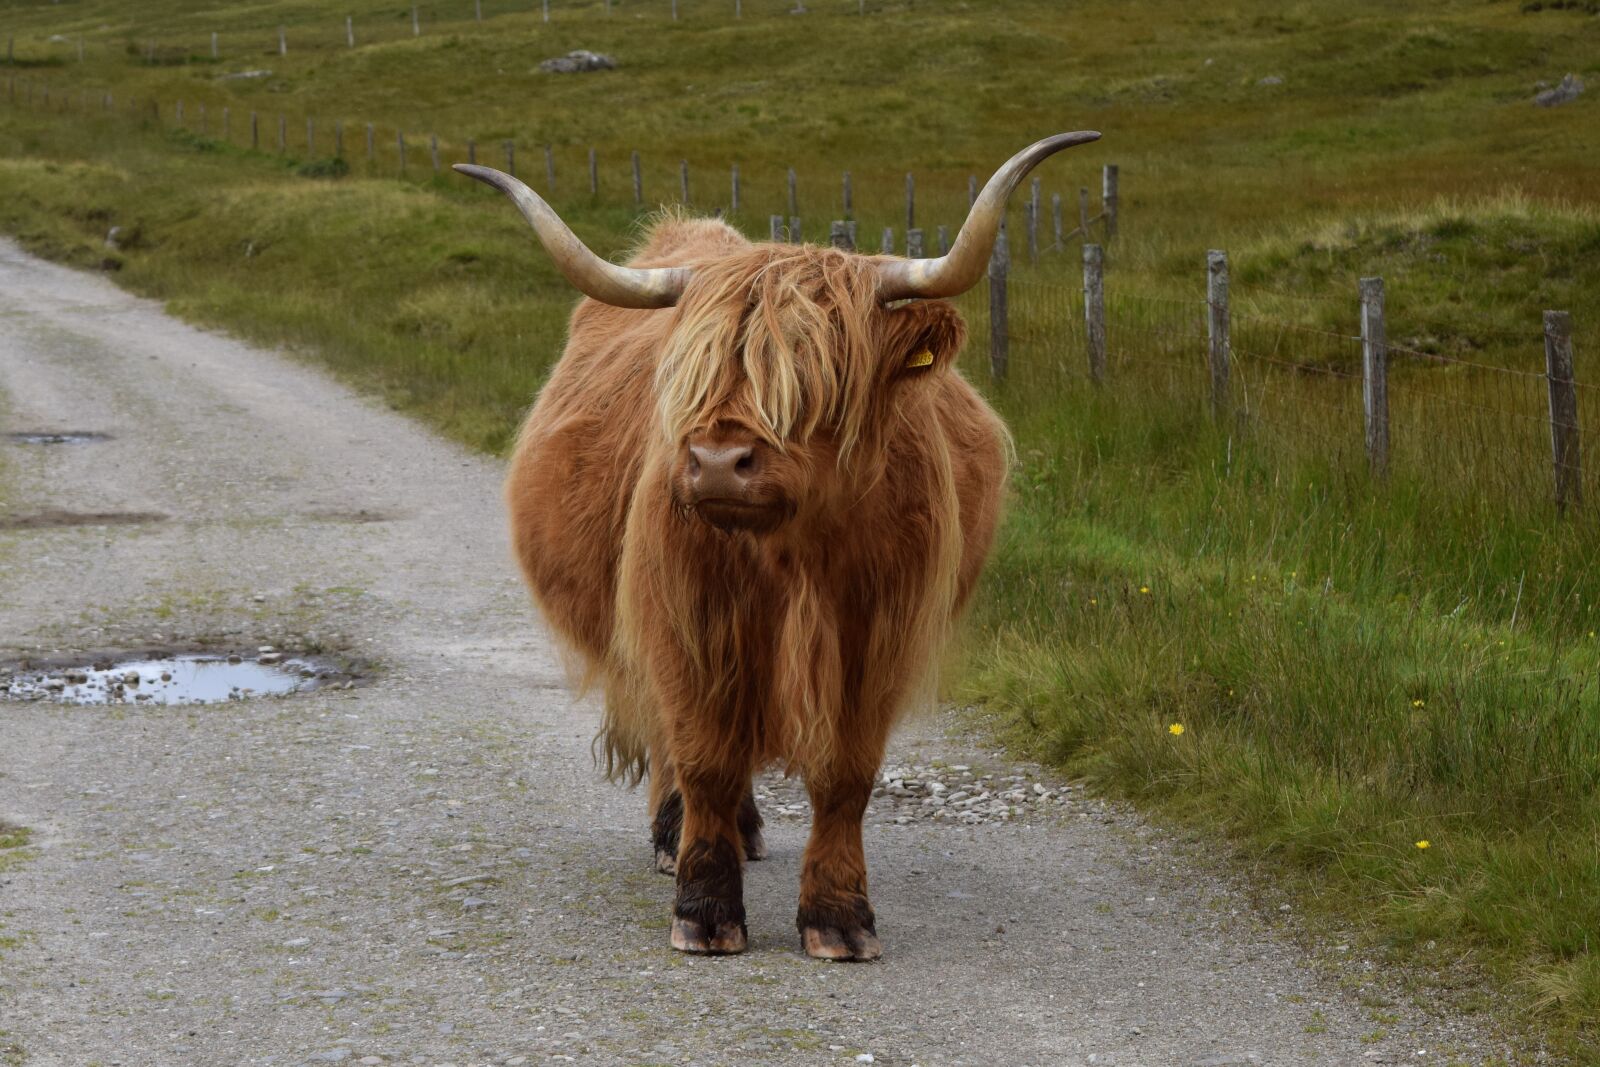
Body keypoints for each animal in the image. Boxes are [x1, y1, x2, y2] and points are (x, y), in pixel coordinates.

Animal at [456, 131, 1098, 960]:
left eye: (817, 372)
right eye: (695, 370)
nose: (715, 461)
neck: (795, 556)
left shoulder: (875, 638)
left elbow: (846, 776)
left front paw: (839, 915)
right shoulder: (686, 622)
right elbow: (702, 756)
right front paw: (703, 906)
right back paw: (674, 835)